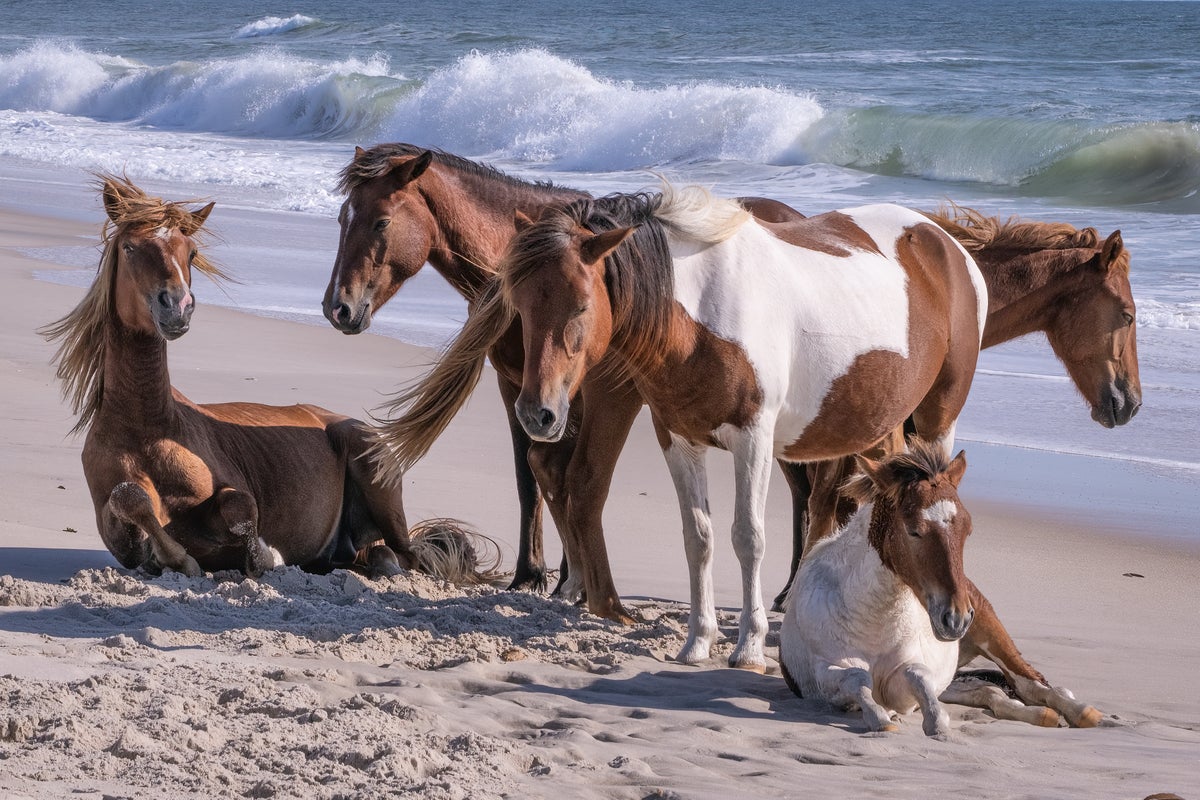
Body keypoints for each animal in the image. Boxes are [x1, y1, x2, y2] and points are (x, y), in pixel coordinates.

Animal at [41, 175, 482, 582]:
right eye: (129, 248)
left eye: (191, 252)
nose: (178, 306)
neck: (145, 429)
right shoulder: (118, 534)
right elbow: (130, 498)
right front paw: (177, 557)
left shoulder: (231, 494)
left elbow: (240, 507)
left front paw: (263, 556)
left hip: (372, 470)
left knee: (405, 555)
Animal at [321, 142, 806, 606]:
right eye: (343, 218)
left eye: (382, 222)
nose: (337, 308)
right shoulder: (519, 388)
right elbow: (531, 476)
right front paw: (533, 575)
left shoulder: (579, 392)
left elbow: (565, 471)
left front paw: (568, 580)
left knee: (805, 488)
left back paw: (789, 592)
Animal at [381, 185, 984, 671]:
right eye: (522, 308)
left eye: (580, 306)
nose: (538, 414)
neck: (701, 318)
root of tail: (945, 242)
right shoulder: (678, 440)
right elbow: (699, 538)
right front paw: (697, 643)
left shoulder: (754, 440)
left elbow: (748, 537)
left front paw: (748, 648)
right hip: (882, 429)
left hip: (937, 422)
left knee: (928, 500)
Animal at [782, 441, 1099, 743]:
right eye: (913, 530)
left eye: (968, 529)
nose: (956, 618)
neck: (873, 619)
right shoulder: (824, 672)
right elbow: (856, 679)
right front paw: (884, 719)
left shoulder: (910, 676)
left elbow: (917, 676)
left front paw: (935, 723)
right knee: (988, 692)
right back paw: (1040, 715)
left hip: (990, 632)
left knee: (1033, 684)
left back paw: (1082, 713)